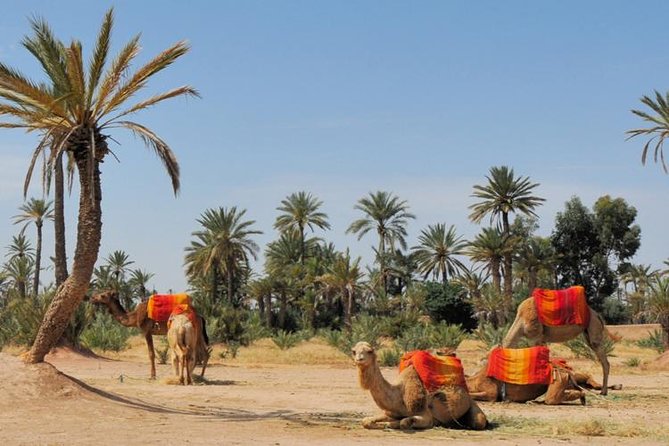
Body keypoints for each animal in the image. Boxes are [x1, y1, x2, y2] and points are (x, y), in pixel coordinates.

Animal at [352, 342, 487, 430]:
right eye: (354, 351)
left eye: (369, 351)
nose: (359, 359)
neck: (399, 395)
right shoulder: (391, 412)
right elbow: (365, 421)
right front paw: (383, 424)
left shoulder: (426, 416)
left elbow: (404, 422)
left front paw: (392, 424)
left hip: (473, 406)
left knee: (479, 422)